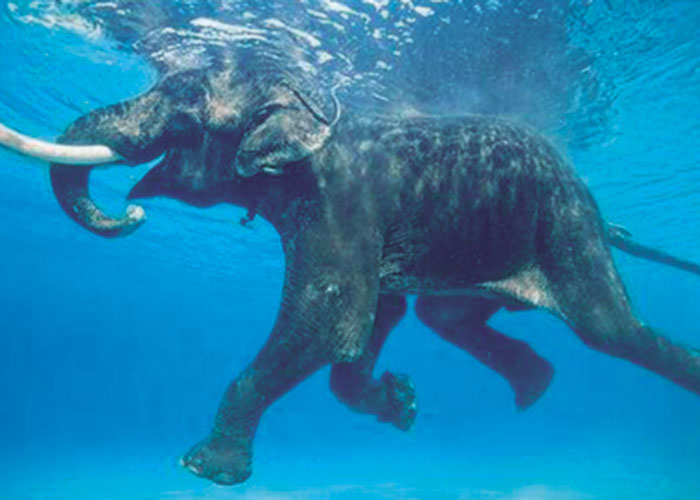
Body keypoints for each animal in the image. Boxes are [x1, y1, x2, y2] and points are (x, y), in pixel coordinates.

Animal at [2, 46, 700, 486]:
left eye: (184, 104)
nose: (132, 213)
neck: (312, 105)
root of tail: (603, 218)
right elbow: (374, 317)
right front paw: (403, 404)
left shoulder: (340, 209)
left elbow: (330, 320)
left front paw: (205, 469)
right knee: (445, 316)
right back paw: (535, 388)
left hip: (567, 230)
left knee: (611, 331)